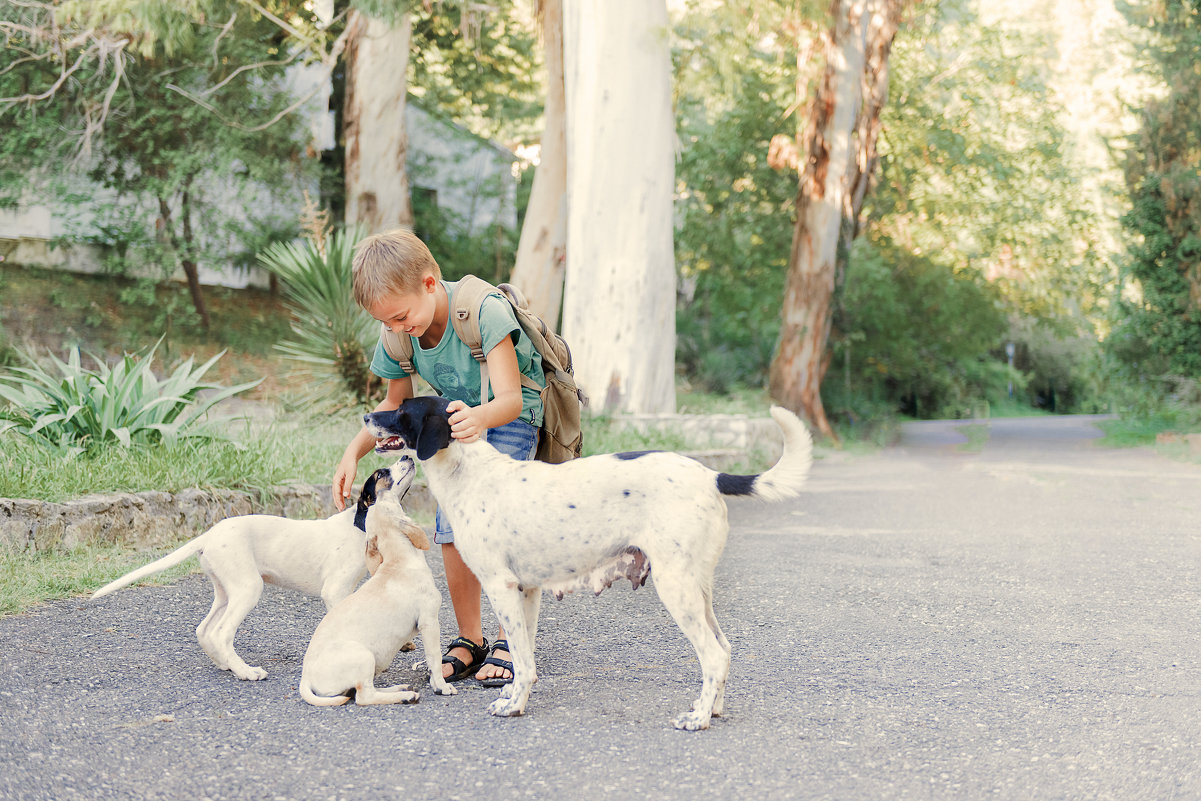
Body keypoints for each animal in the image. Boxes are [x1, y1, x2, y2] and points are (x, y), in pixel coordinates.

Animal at [91, 461, 415, 682]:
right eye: (381, 474)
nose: (408, 456)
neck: (361, 522)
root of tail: (209, 535)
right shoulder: (334, 591)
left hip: (227, 590)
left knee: (204, 629)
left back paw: (226, 663)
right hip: (248, 588)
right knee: (222, 632)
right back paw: (245, 671)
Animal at [360, 396, 811, 734]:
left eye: (403, 410)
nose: (366, 416)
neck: (468, 471)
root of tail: (710, 474)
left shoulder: (501, 586)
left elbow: (522, 661)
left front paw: (512, 707)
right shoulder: (527, 591)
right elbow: (525, 659)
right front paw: (514, 697)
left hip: (676, 587)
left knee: (714, 655)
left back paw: (698, 718)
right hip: (697, 589)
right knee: (725, 648)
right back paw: (713, 708)